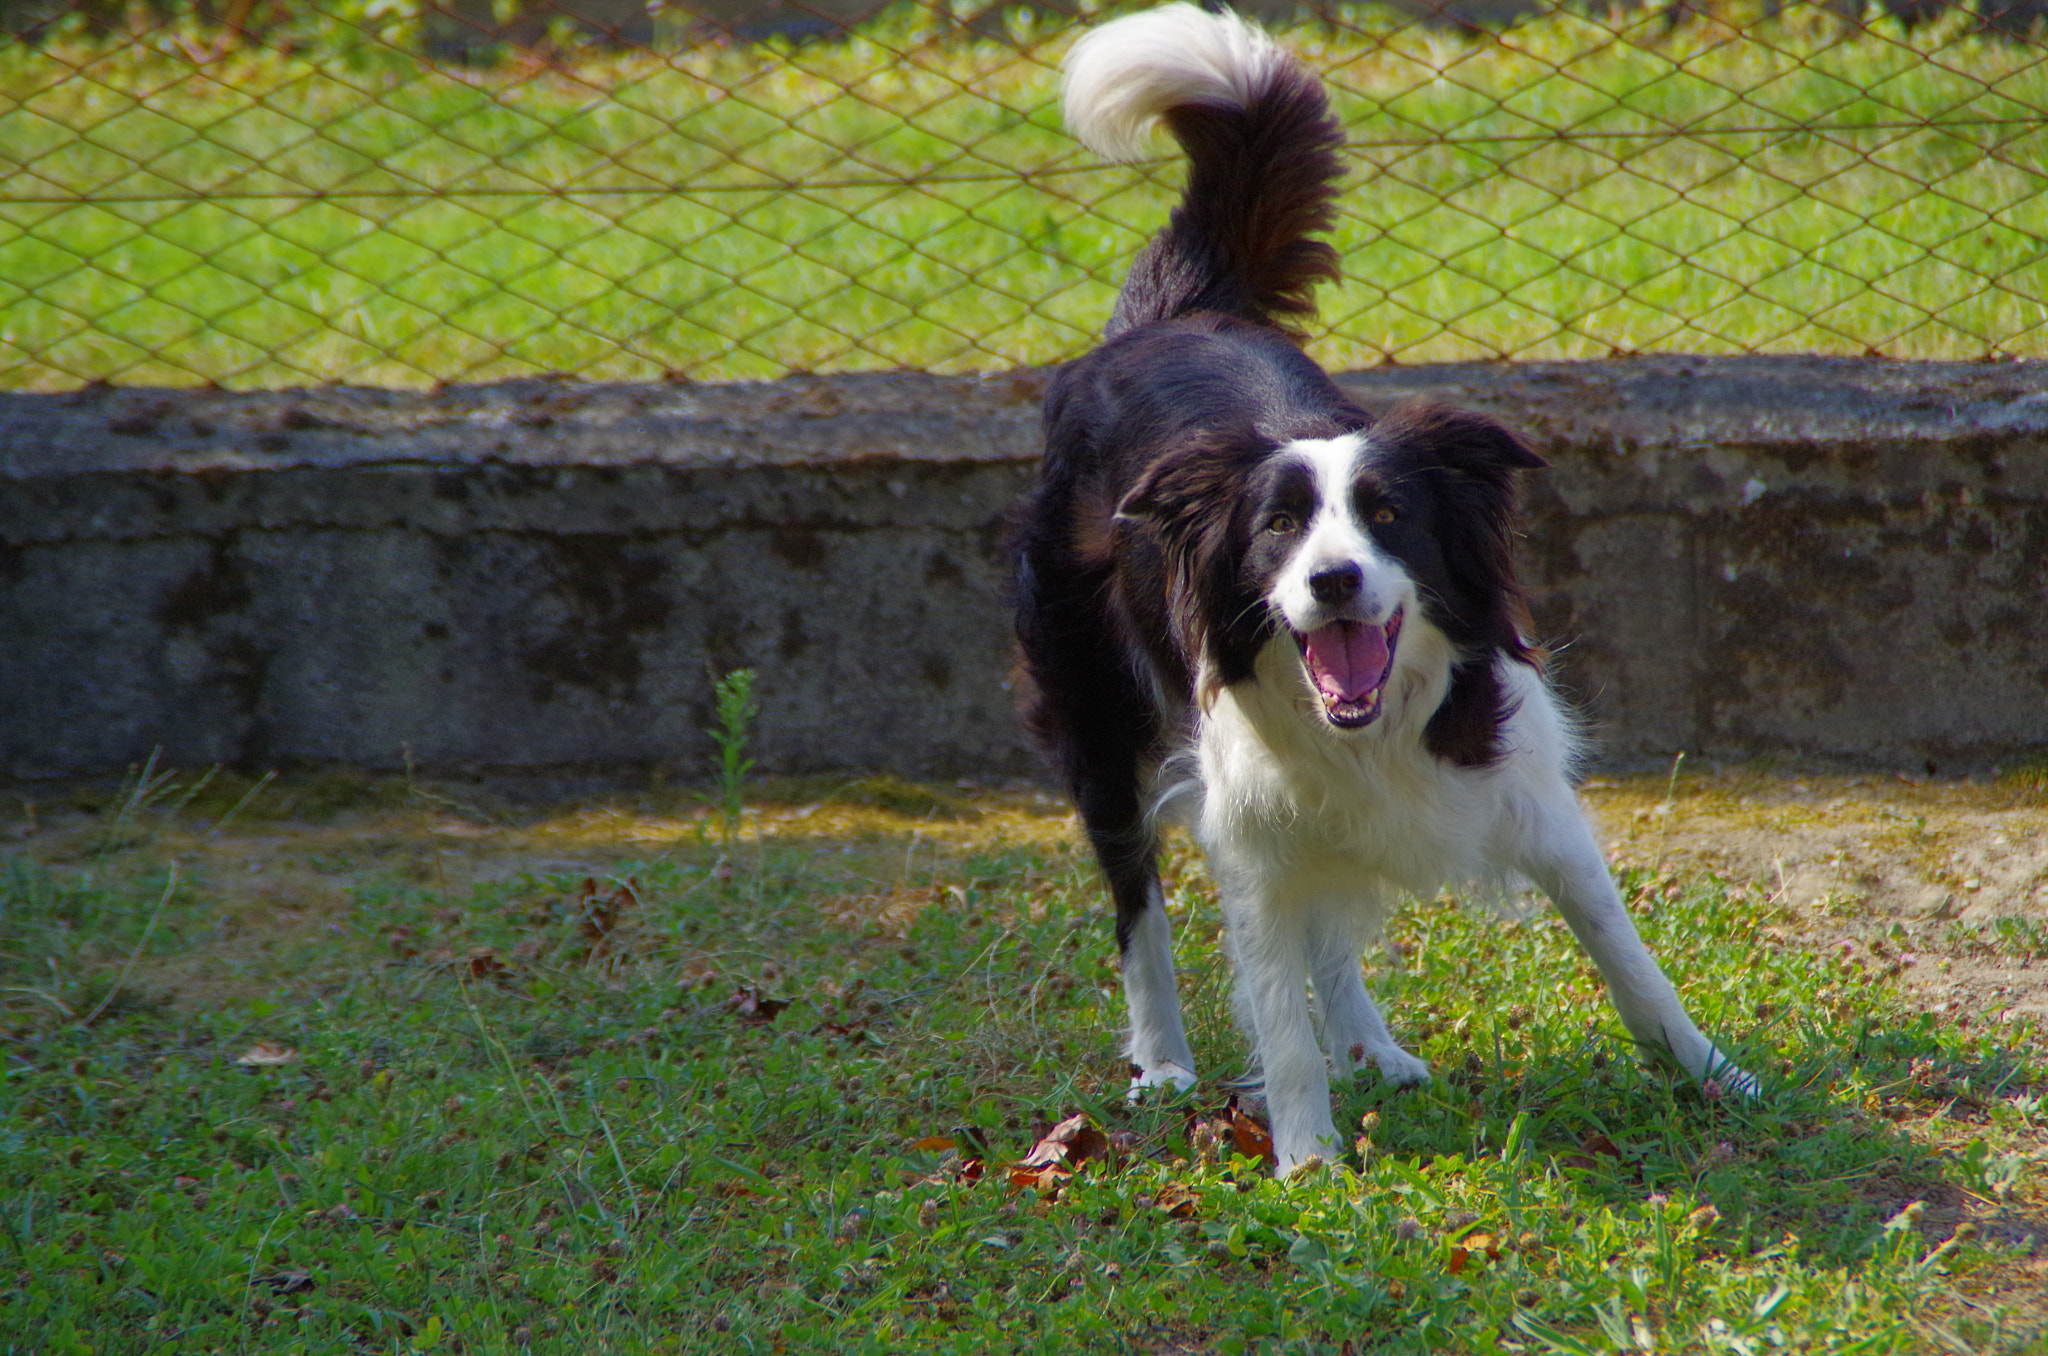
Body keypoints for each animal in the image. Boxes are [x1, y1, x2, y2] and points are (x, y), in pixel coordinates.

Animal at [1015, 0, 1753, 1171]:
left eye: (1388, 516)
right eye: (1276, 528)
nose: (1331, 580)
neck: (1374, 726)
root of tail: (1164, 318)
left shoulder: (1526, 788)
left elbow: (1624, 952)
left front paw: (1718, 1079)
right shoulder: (1249, 828)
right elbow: (1275, 1010)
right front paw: (1310, 1165)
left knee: (1331, 921)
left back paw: (1373, 1047)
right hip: (1093, 713)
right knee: (1137, 901)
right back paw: (1162, 1062)